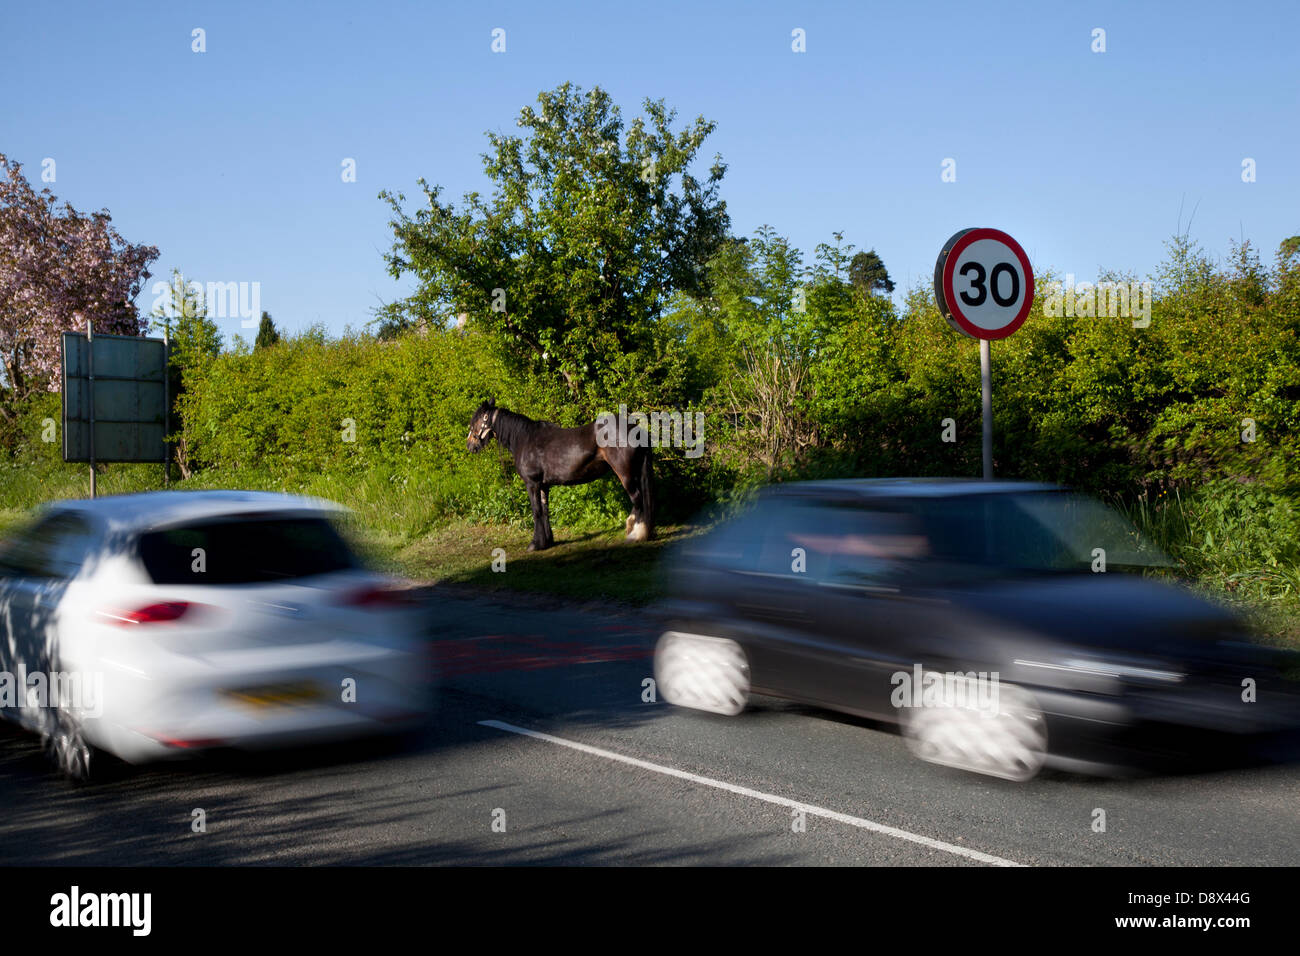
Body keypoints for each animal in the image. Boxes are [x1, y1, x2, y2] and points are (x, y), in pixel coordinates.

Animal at [467, 400, 655, 554]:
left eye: (475, 421)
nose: (470, 445)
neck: (524, 438)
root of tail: (635, 428)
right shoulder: (543, 485)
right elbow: (545, 511)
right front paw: (547, 541)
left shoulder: (532, 483)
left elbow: (536, 511)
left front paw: (535, 544)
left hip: (625, 474)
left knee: (637, 499)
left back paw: (635, 534)